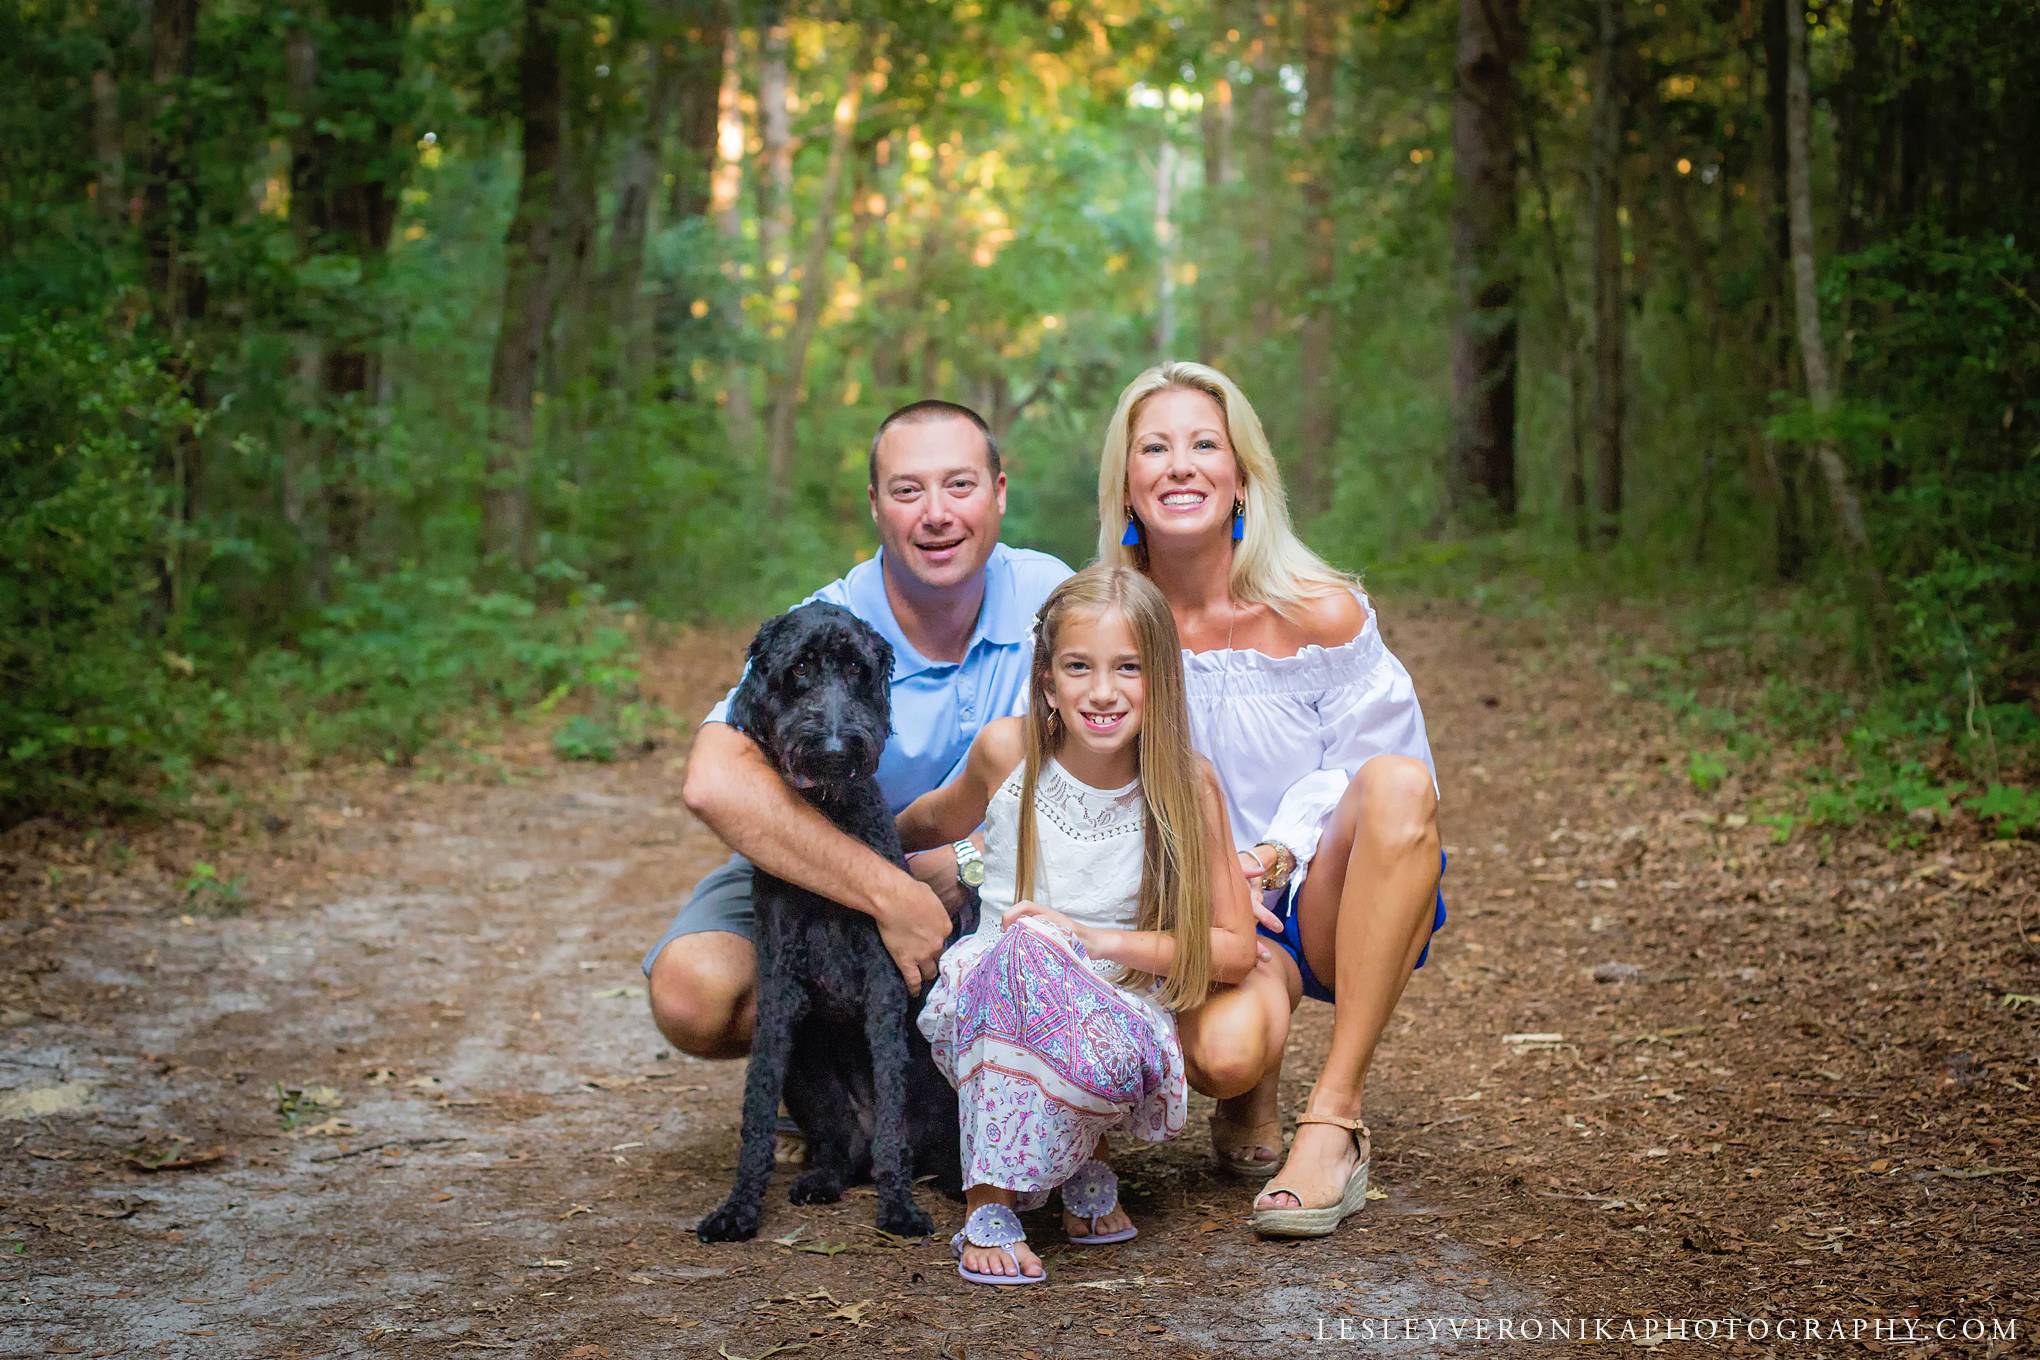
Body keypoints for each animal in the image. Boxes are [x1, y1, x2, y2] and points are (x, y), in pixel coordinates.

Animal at [697, 607, 958, 1247]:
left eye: (856, 670)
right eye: (799, 670)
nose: (838, 746)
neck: (830, 814)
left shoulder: (886, 984)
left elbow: (892, 1104)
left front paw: (898, 1208)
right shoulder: (780, 991)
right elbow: (756, 1107)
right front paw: (738, 1208)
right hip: (810, 1076)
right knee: (842, 1144)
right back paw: (823, 1176)